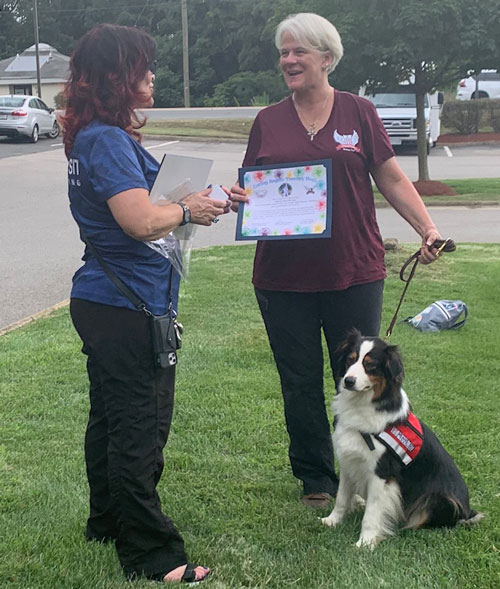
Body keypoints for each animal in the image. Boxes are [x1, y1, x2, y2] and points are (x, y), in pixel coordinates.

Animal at [322, 330, 482, 548]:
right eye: (350, 359)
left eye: (370, 365)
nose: (348, 381)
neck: (363, 406)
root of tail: (467, 511)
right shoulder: (349, 460)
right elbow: (341, 497)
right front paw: (332, 520)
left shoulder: (382, 472)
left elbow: (372, 512)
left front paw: (366, 542)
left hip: (442, 499)